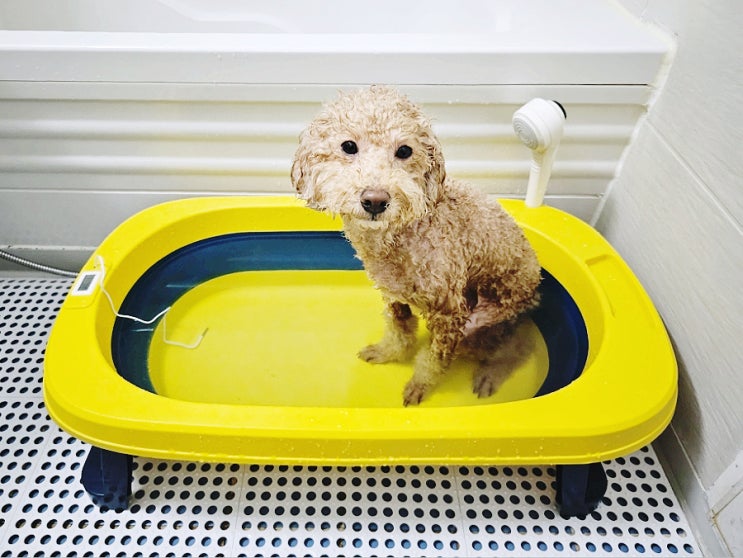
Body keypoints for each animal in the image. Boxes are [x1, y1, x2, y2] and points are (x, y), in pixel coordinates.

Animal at [291, 86, 541, 406]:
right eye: (348, 146)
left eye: (404, 151)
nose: (375, 200)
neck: (408, 234)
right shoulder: (393, 294)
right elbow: (399, 330)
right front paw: (388, 353)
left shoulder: (451, 315)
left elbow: (433, 359)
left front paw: (420, 385)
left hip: (485, 320)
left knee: (515, 349)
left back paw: (491, 374)